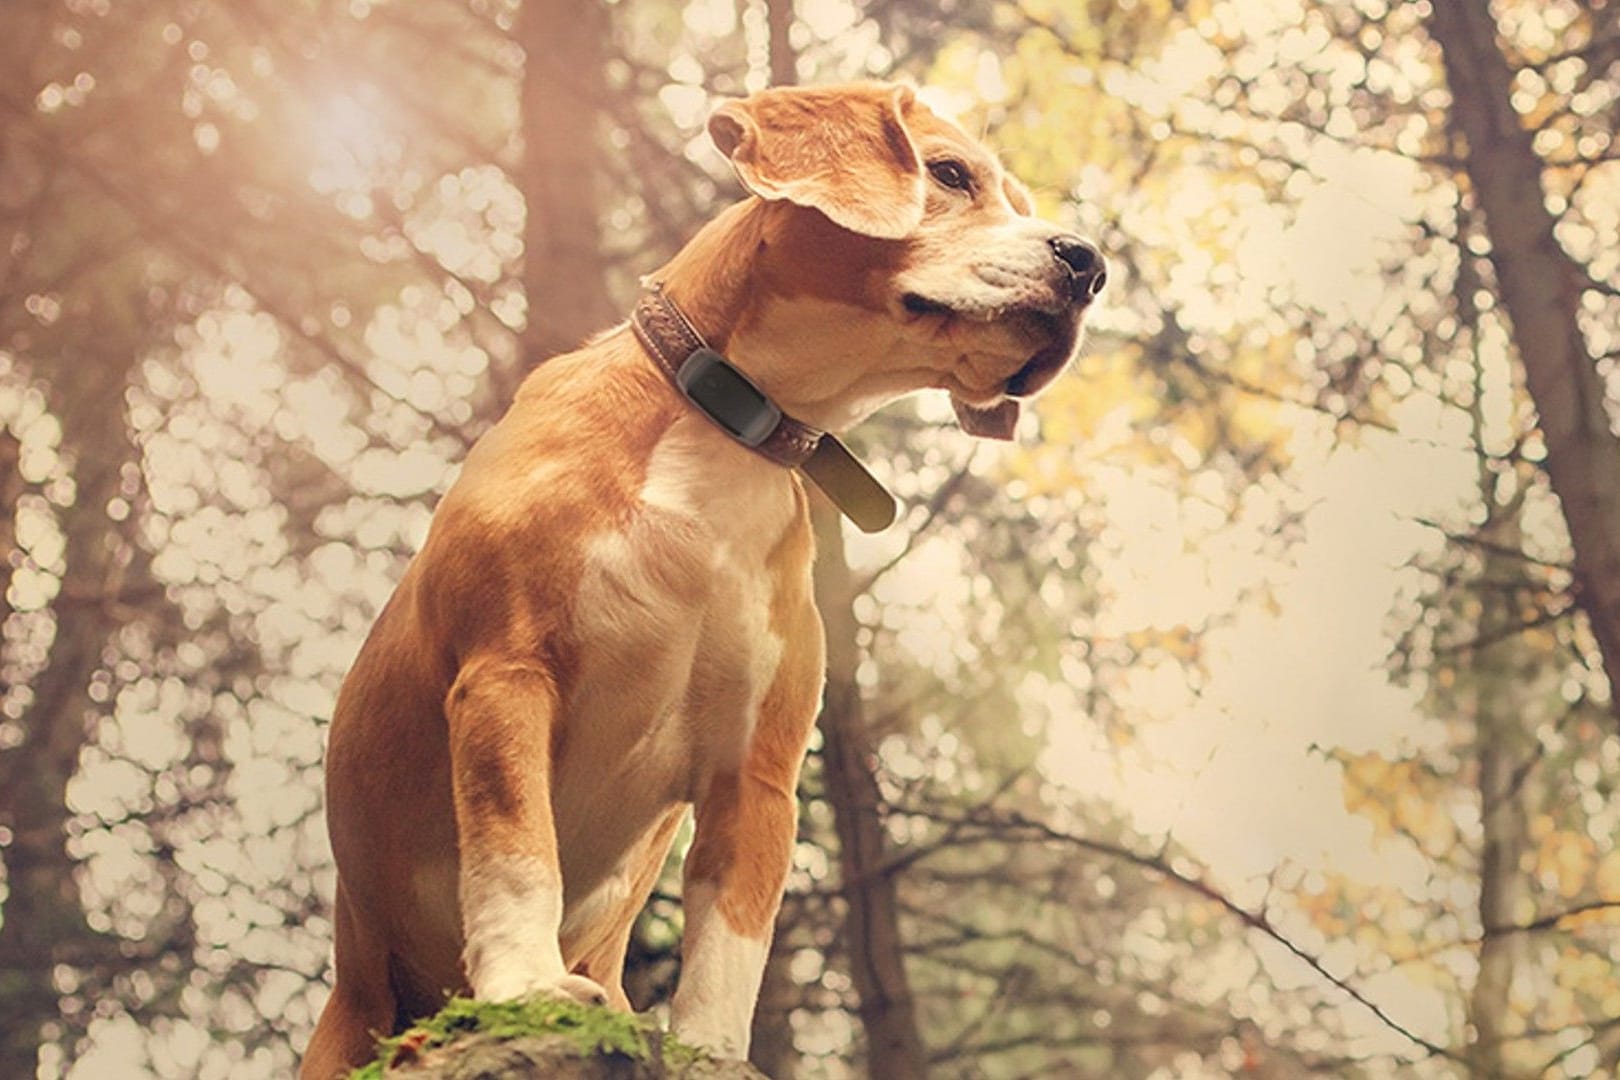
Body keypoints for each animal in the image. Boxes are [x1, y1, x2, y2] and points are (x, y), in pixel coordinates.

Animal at [301, 80, 1101, 1075]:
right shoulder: (505, 676)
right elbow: (516, 855)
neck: (725, 432)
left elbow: (730, 950)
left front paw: (712, 1050)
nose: (1091, 263)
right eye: (951, 176)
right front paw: (526, 983)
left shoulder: (753, 777)